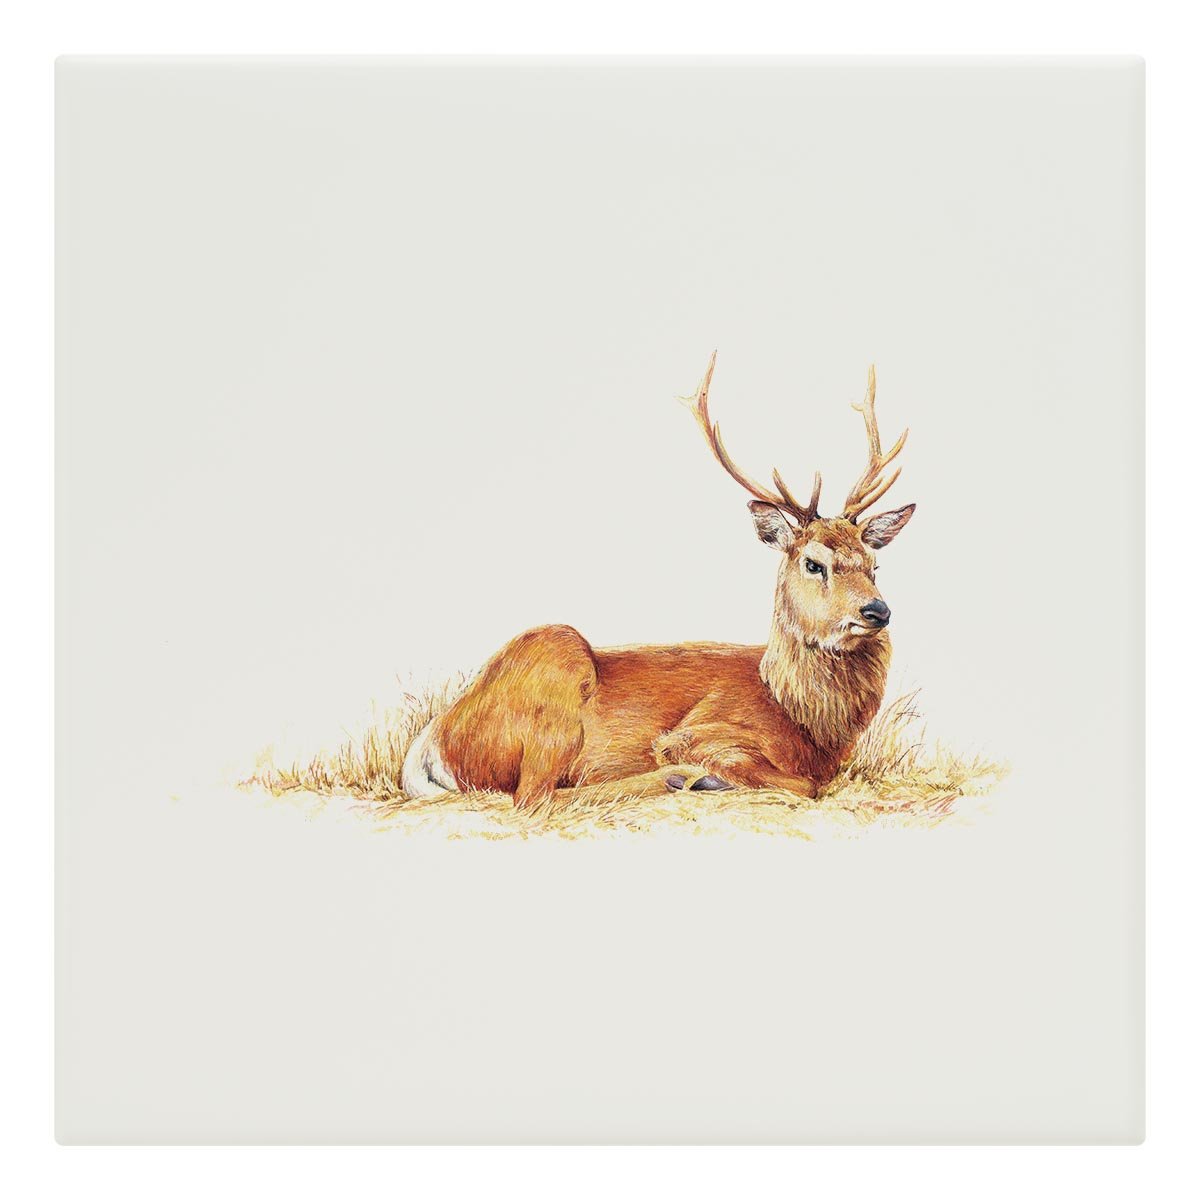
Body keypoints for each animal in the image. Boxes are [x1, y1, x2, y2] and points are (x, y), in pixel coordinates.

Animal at [401, 353, 916, 809]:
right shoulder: (697, 733)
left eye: (873, 564)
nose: (878, 610)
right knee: (533, 797)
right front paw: (706, 776)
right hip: (555, 663)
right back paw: (679, 778)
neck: (799, 717)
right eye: (813, 563)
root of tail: (437, 740)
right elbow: (804, 786)